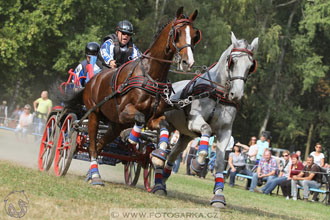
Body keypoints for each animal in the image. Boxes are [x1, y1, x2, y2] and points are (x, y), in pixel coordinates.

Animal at [65, 6, 200, 186]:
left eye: (194, 35)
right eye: (177, 33)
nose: (188, 62)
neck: (150, 75)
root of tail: (92, 81)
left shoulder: (152, 118)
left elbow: (163, 124)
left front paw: (158, 155)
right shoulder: (125, 112)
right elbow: (139, 118)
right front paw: (133, 138)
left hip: (114, 125)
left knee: (100, 144)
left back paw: (91, 173)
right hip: (94, 115)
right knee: (92, 146)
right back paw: (94, 176)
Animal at [151, 32, 258, 208]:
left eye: (250, 66)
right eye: (232, 62)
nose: (236, 94)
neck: (217, 93)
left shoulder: (225, 131)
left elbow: (220, 162)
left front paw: (219, 196)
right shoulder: (195, 121)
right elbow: (206, 130)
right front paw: (197, 164)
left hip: (185, 136)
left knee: (173, 155)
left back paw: (162, 181)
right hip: (167, 121)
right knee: (164, 134)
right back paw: (158, 160)